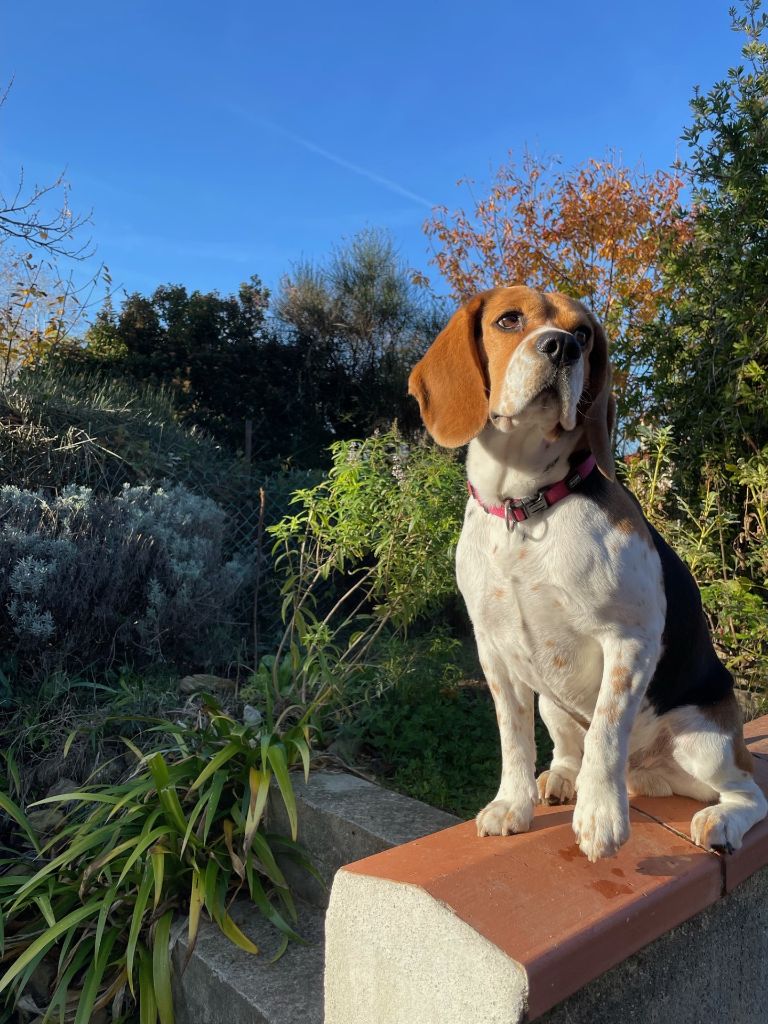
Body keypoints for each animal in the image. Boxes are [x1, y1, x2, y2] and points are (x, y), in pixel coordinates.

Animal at [409, 284, 765, 860]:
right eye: (509, 320)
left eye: (583, 334)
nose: (562, 348)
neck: (526, 508)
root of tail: (645, 775)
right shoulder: (494, 652)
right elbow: (514, 739)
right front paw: (513, 805)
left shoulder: (630, 641)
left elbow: (605, 731)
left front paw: (601, 817)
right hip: (553, 704)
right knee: (565, 747)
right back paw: (560, 778)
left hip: (705, 740)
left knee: (749, 791)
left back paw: (720, 820)